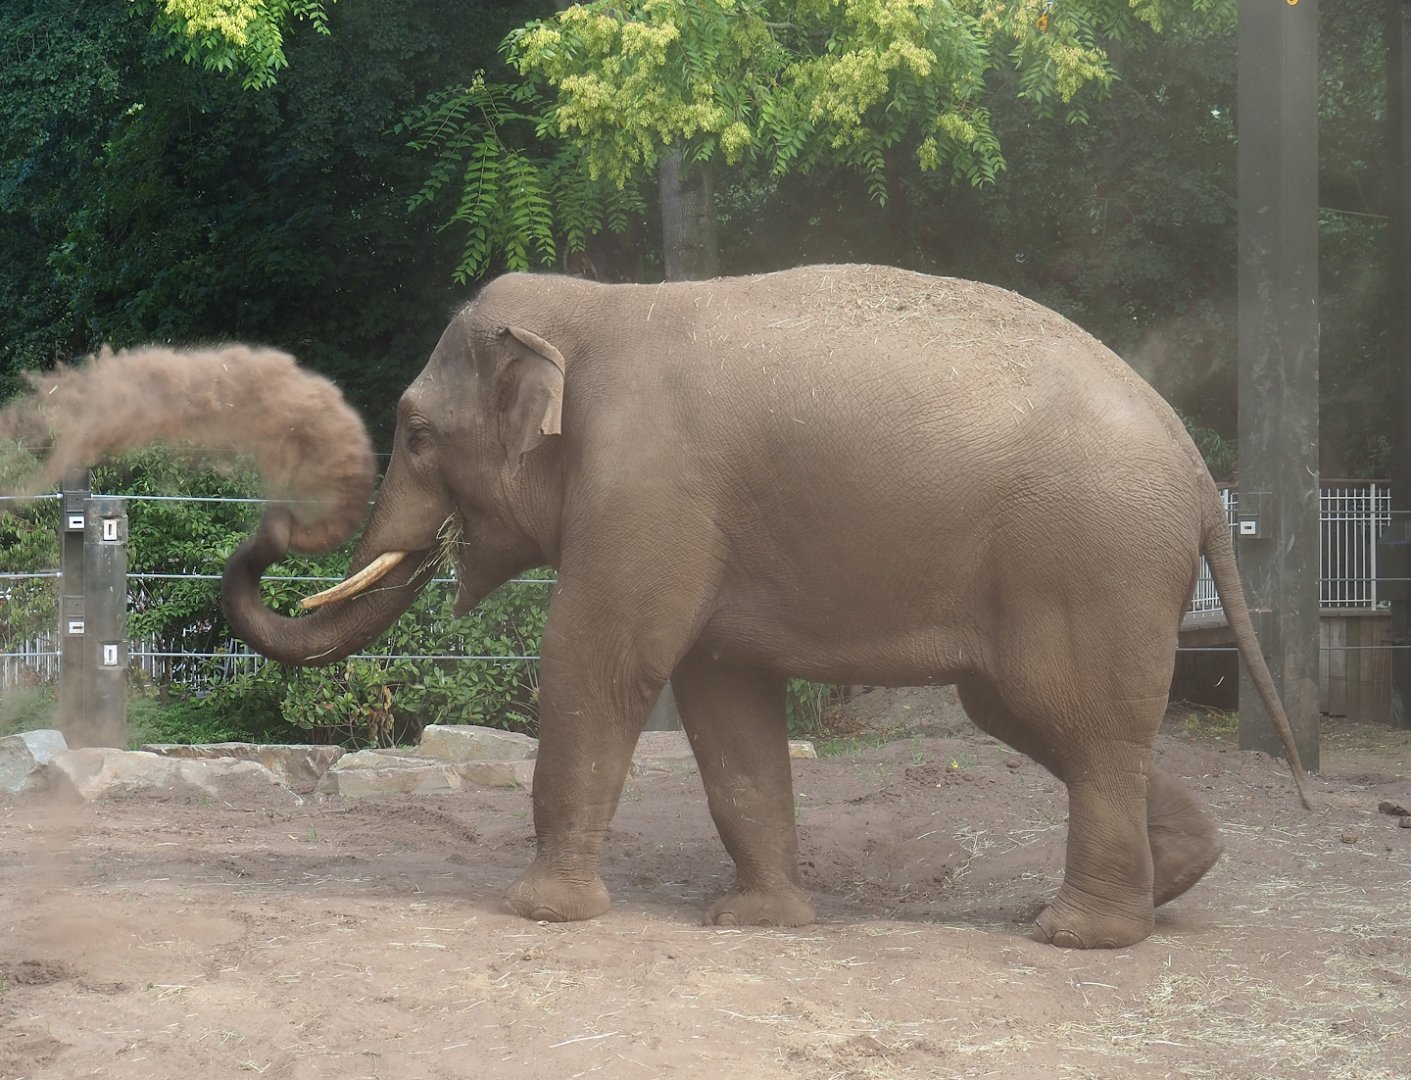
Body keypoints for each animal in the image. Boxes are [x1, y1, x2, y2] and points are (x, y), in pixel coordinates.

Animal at [222, 264, 1312, 949]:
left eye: (412, 431)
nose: (269, 528)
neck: (598, 308)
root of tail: (1197, 473)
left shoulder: (647, 488)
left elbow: (598, 662)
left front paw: (540, 912)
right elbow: (724, 699)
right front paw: (756, 924)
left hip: (1086, 562)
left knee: (1076, 720)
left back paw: (1079, 935)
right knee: (1040, 719)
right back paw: (1176, 878)